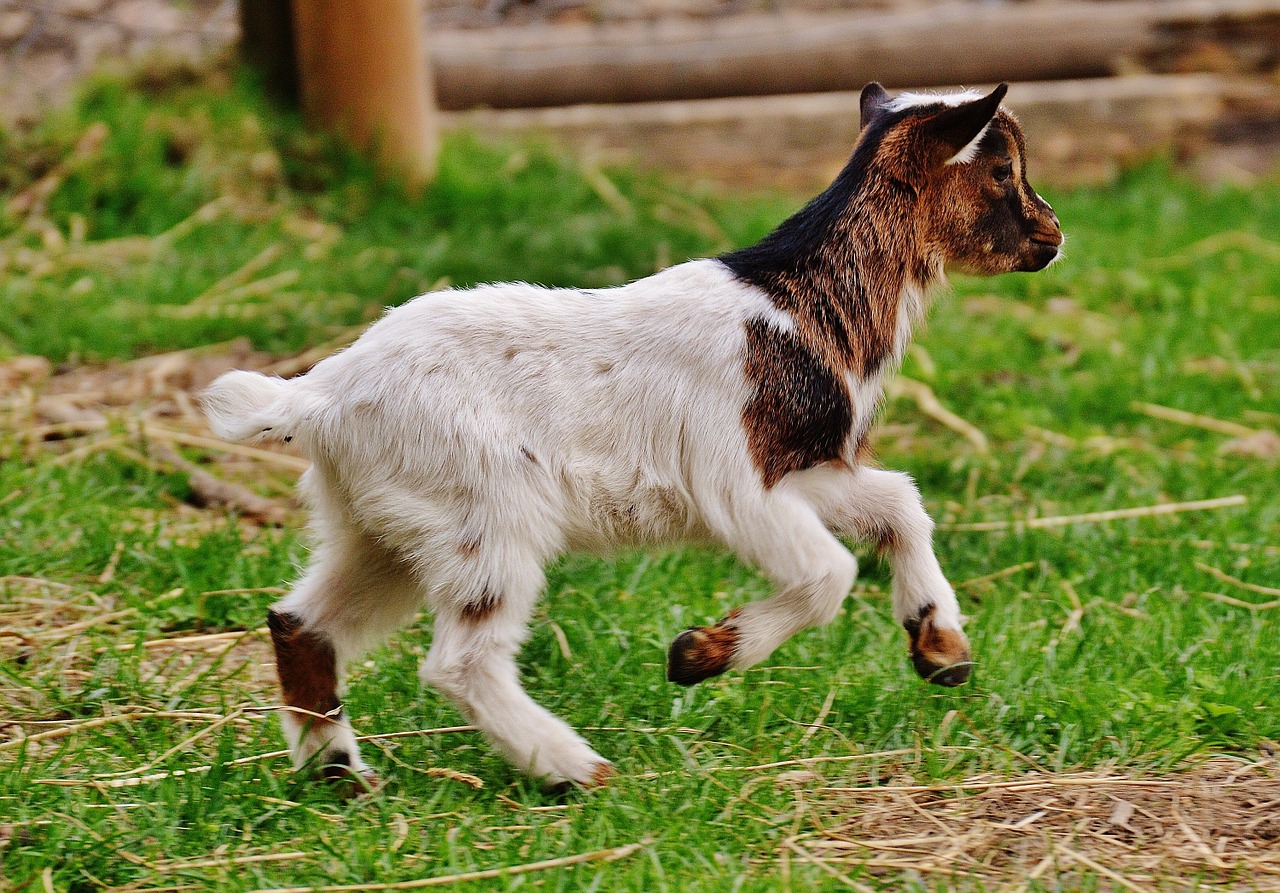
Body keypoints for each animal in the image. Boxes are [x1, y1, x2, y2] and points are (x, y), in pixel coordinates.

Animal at [202, 83, 1059, 788]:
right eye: (1001, 170)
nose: (1053, 234)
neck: (796, 302)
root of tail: (319, 395)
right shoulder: (735, 485)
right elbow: (829, 573)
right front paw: (699, 655)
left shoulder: (805, 466)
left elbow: (900, 505)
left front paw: (941, 650)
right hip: (488, 519)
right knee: (460, 662)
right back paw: (574, 768)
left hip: (381, 525)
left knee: (302, 623)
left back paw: (341, 776)